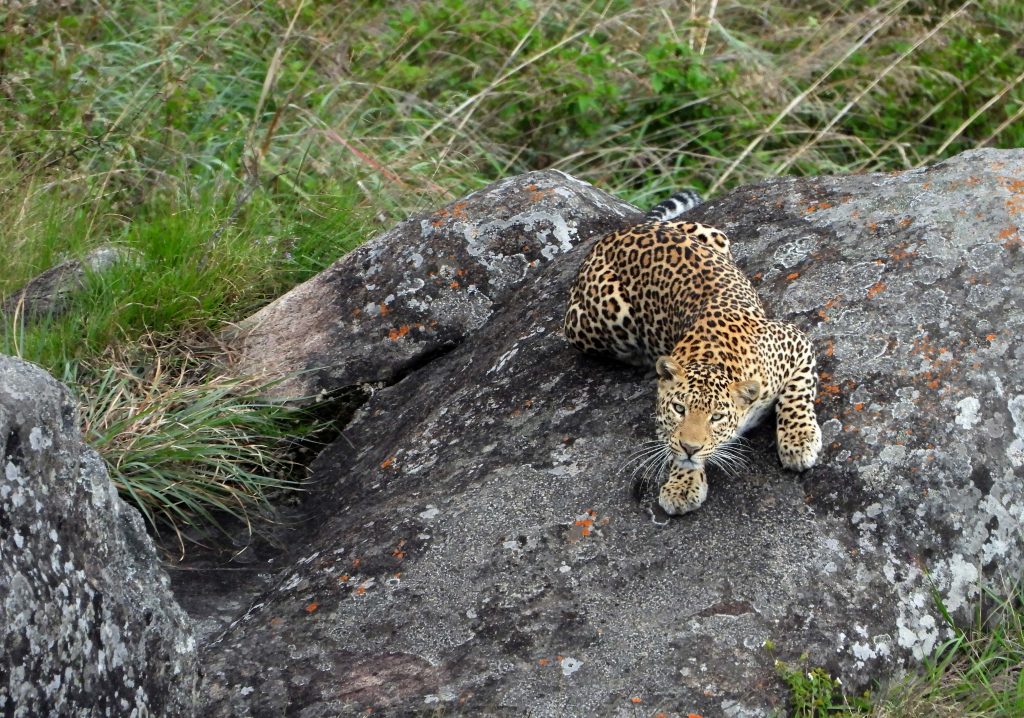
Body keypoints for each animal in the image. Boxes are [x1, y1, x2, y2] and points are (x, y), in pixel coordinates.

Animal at [565, 190, 819, 516]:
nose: (691, 447)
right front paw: (682, 484)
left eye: (717, 417)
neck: (714, 359)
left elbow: (797, 394)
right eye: (679, 409)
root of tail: (617, 232)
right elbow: (673, 447)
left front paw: (800, 441)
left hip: (714, 235)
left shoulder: (796, 342)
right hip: (597, 320)